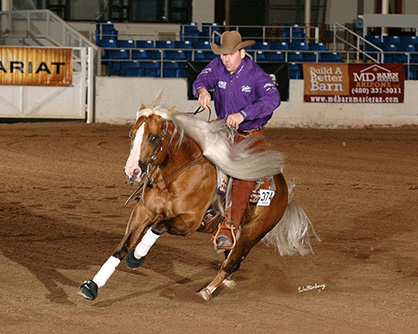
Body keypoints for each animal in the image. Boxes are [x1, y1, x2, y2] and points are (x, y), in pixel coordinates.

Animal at [76, 100, 318, 302]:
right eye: (131, 134)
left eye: (153, 137)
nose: (132, 171)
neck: (176, 177)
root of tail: (284, 188)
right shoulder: (142, 211)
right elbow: (122, 246)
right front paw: (92, 285)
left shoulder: (189, 222)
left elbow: (158, 226)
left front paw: (136, 258)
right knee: (231, 258)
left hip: (252, 234)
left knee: (232, 263)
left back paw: (207, 291)